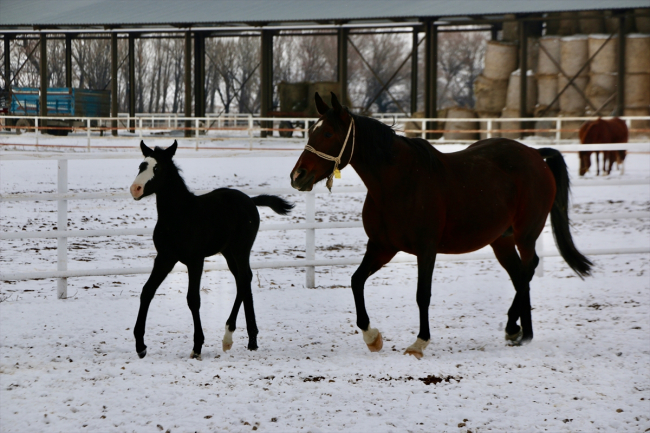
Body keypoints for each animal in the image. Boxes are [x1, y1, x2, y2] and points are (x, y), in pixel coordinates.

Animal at [130, 140, 292, 360]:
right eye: (141, 166)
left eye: (158, 168)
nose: (135, 189)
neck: (179, 216)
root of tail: (250, 200)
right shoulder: (164, 258)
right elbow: (147, 291)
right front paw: (140, 346)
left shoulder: (195, 260)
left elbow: (193, 299)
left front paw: (197, 347)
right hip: (228, 253)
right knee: (243, 280)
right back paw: (245, 340)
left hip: (241, 250)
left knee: (244, 279)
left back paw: (236, 338)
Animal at [292, 93, 588, 358]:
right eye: (312, 132)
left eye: (328, 133)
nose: (298, 176)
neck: (399, 183)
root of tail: (535, 154)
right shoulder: (381, 247)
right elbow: (356, 281)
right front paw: (372, 337)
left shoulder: (426, 249)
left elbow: (422, 294)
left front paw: (419, 343)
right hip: (501, 240)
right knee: (518, 275)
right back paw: (515, 330)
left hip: (525, 234)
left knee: (528, 269)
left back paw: (524, 332)